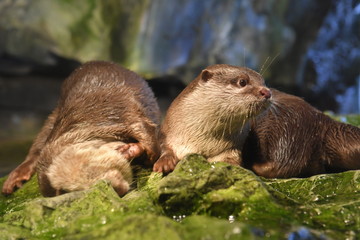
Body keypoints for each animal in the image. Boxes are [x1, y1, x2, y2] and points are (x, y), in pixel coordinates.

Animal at [1, 61, 159, 196]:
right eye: (78, 190)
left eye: (90, 168)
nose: (116, 189)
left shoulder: (116, 118)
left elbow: (144, 130)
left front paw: (146, 154)